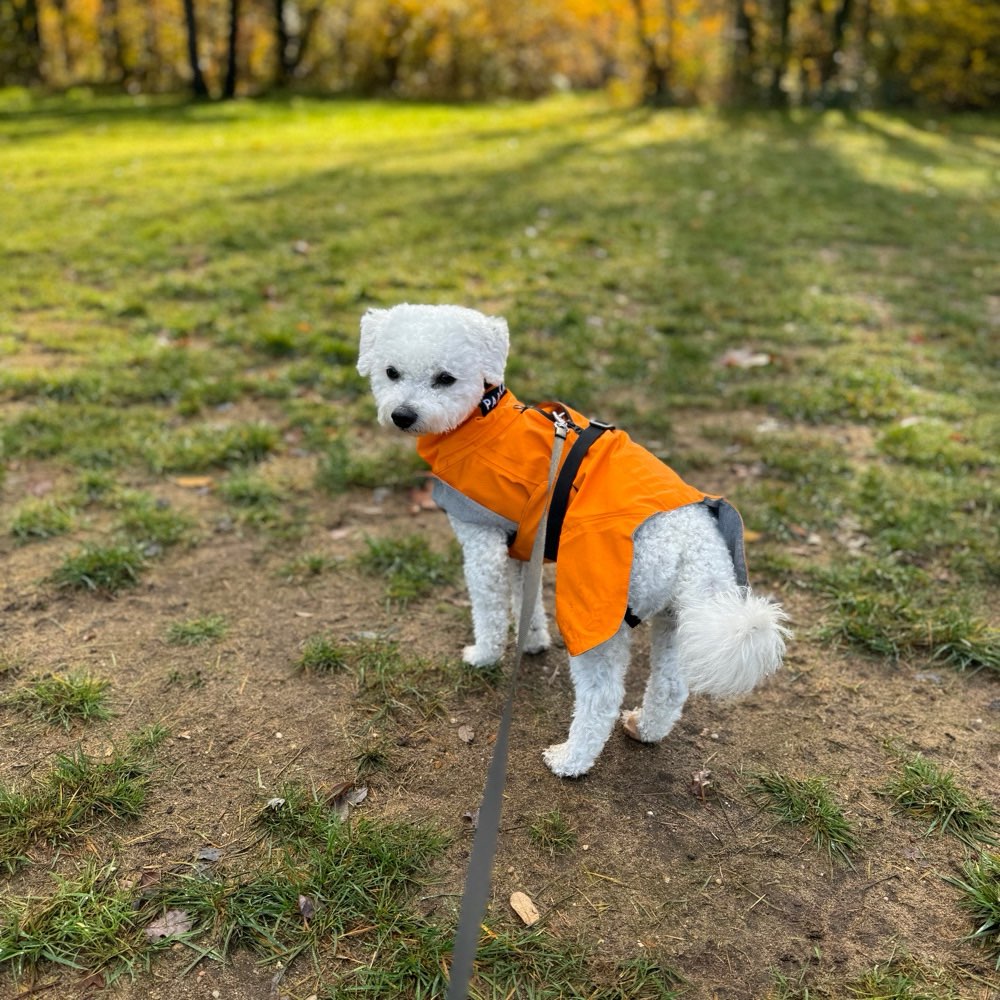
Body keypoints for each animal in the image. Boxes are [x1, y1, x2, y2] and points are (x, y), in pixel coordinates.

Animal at [360, 304, 788, 780]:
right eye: (391, 372)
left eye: (445, 378)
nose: (402, 415)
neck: (482, 419)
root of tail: (694, 547)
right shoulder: (520, 547)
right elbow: (525, 604)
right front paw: (531, 642)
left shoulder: (482, 544)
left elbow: (490, 610)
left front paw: (485, 655)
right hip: (679, 619)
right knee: (671, 686)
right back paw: (645, 729)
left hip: (595, 613)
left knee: (602, 695)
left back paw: (571, 759)